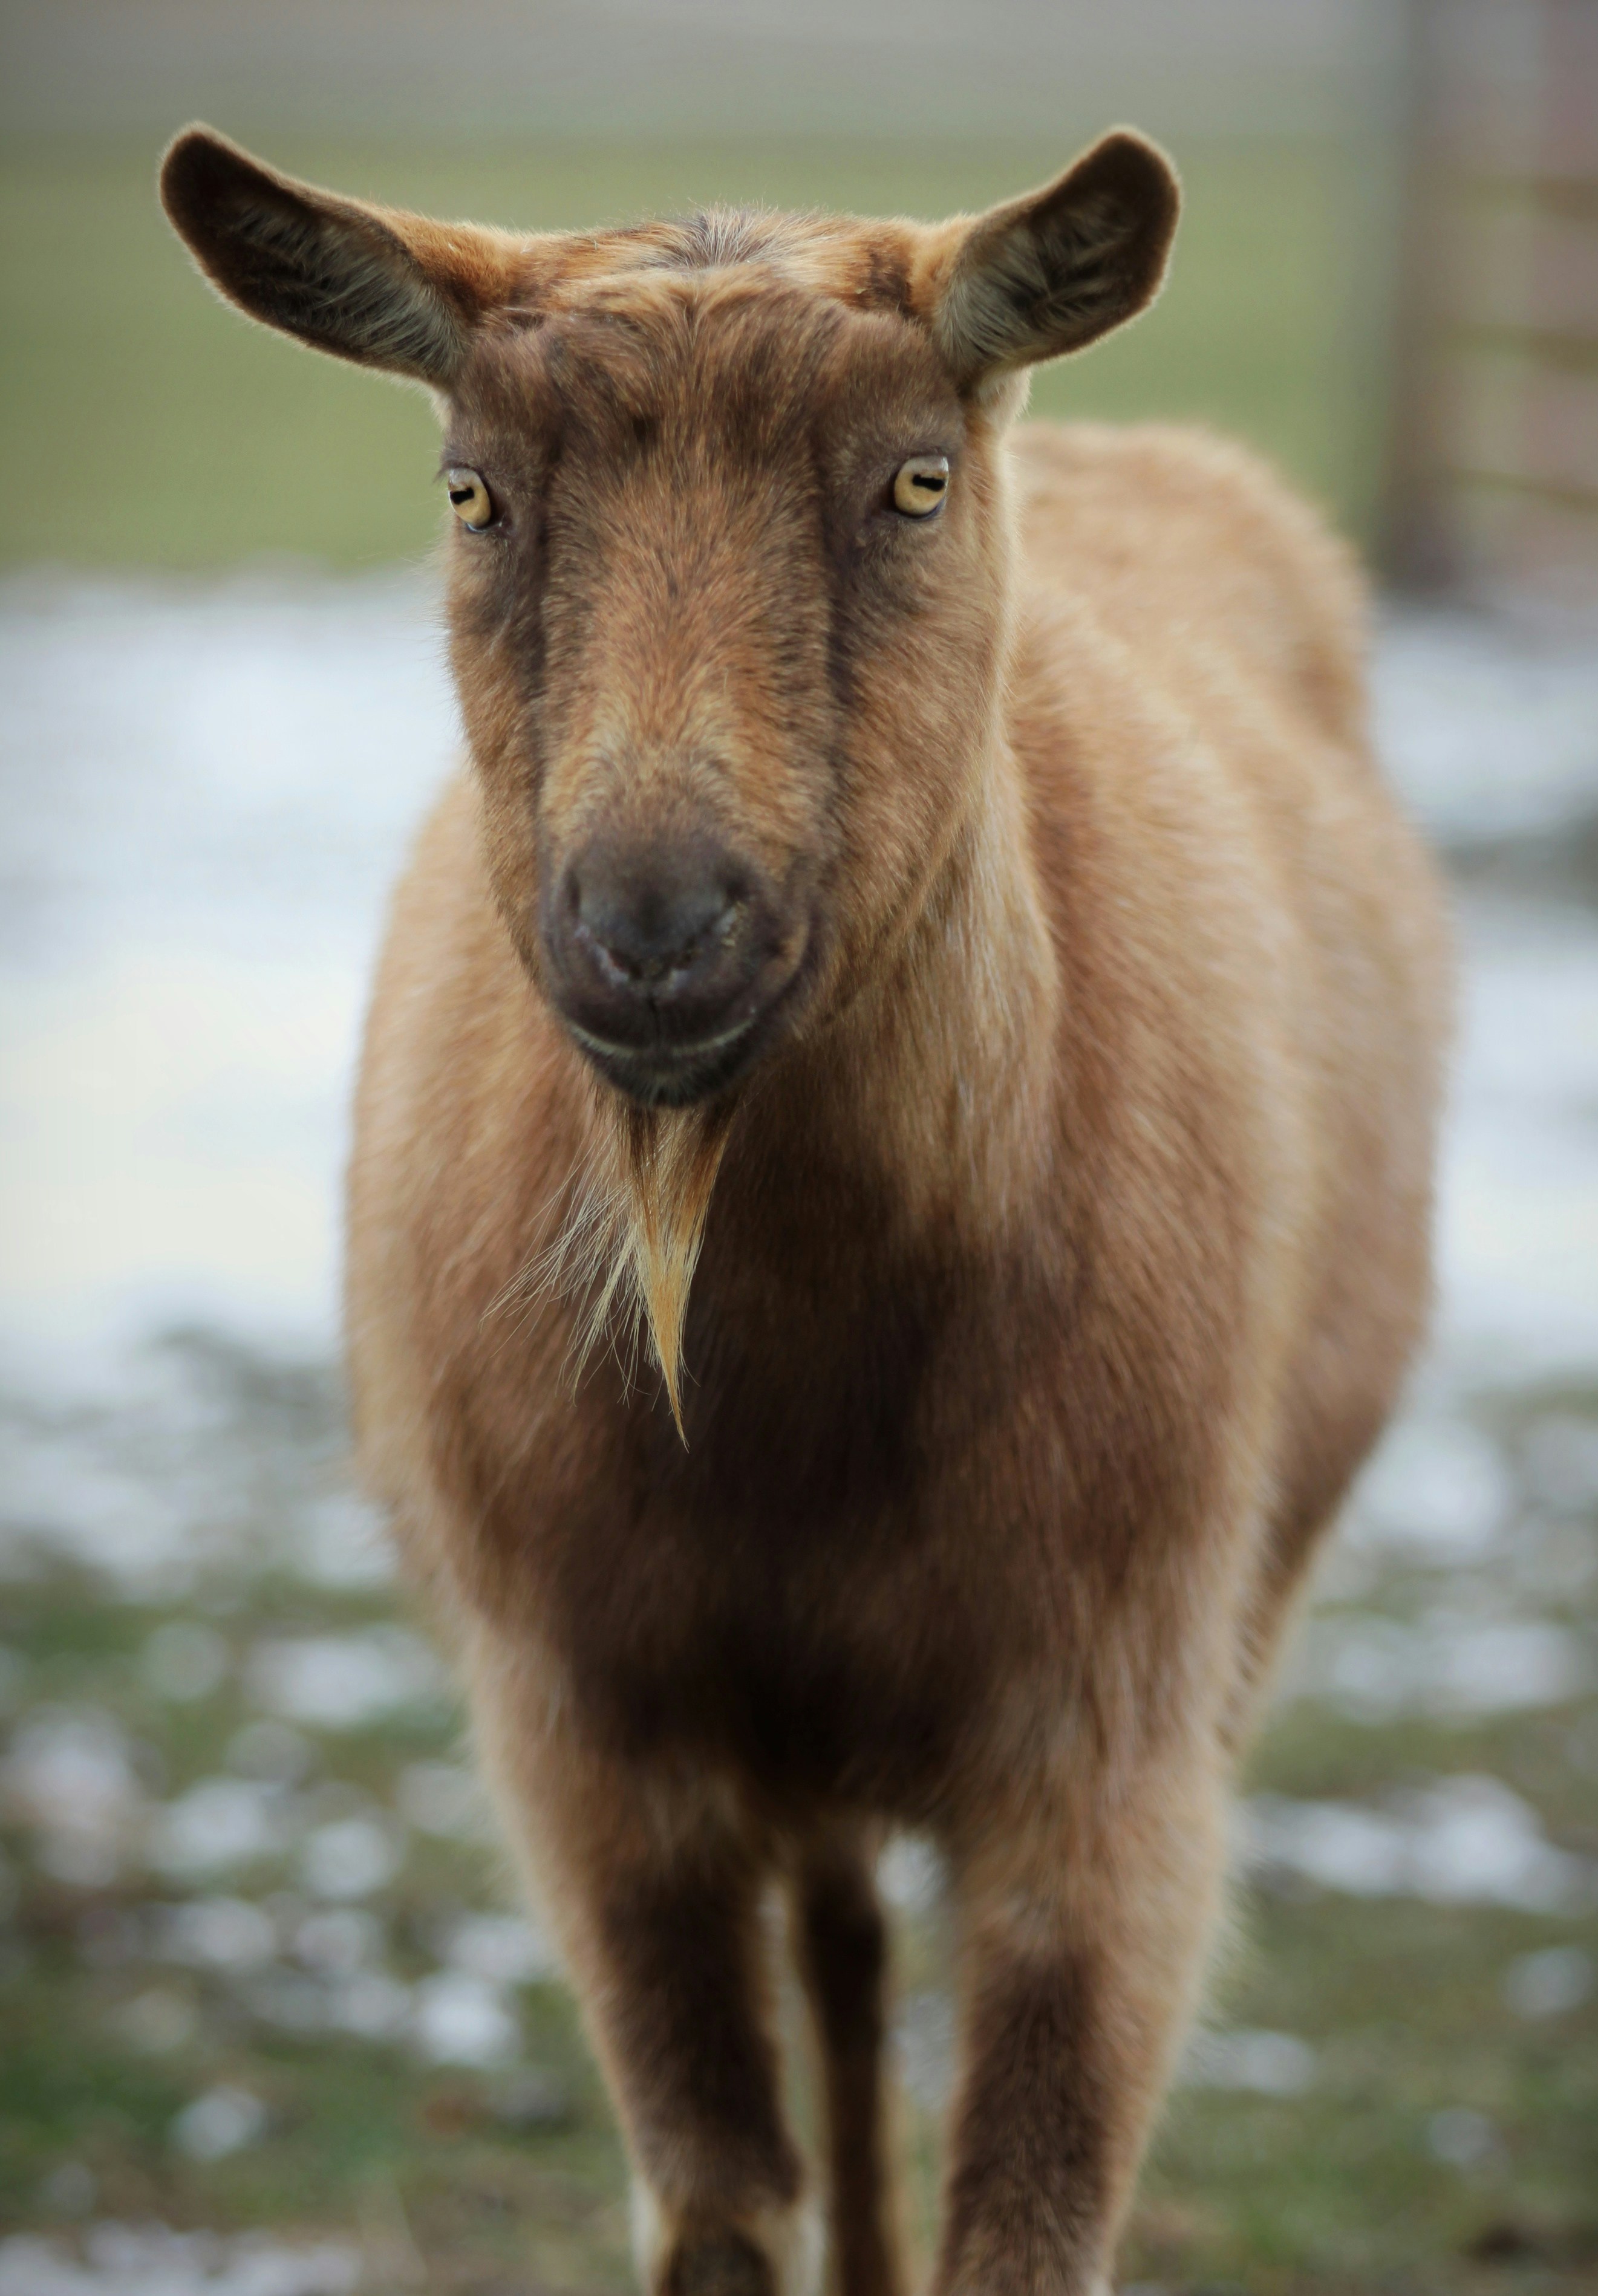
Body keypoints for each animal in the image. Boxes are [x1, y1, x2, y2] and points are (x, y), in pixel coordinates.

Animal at [162, 123, 1451, 2296]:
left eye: (914, 476)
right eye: (470, 486)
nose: (657, 926)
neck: (782, 1384)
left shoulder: (1109, 1744)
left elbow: (1028, 2214)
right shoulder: (587, 1739)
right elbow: (717, 2191)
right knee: (840, 1941)